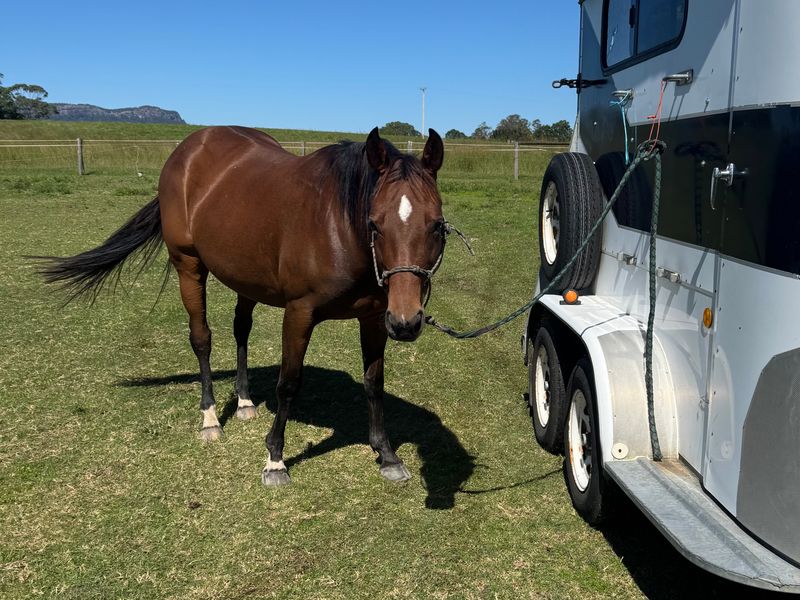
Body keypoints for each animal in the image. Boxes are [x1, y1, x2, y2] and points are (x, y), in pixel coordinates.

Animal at [40, 126, 448, 486]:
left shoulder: (375, 317)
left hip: (245, 278)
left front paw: (387, 455)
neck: (339, 225)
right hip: (188, 266)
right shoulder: (300, 314)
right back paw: (210, 418)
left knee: (241, 331)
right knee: (201, 338)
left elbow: (374, 382)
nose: (407, 323)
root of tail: (188, 149)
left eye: (437, 225)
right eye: (375, 224)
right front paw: (275, 460)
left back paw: (244, 401)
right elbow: (288, 383)